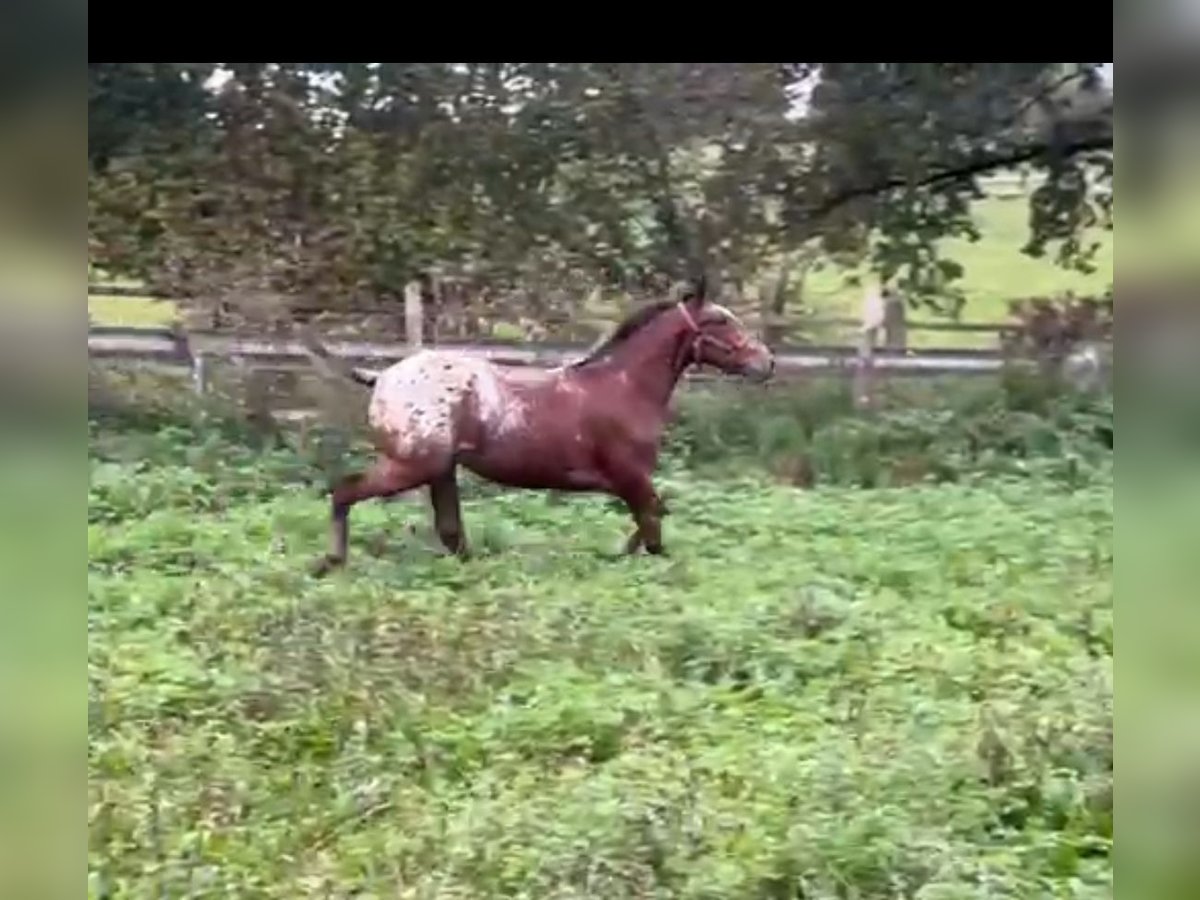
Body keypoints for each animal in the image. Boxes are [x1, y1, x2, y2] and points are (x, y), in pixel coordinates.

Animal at [300, 282, 777, 578]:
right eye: (721, 321)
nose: (767, 362)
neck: (624, 386)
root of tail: (381, 376)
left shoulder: (629, 483)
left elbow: (650, 524)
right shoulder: (631, 477)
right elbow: (654, 530)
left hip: (439, 471)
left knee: (451, 533)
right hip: (410, 466)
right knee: (345, 493)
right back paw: (329, 563)